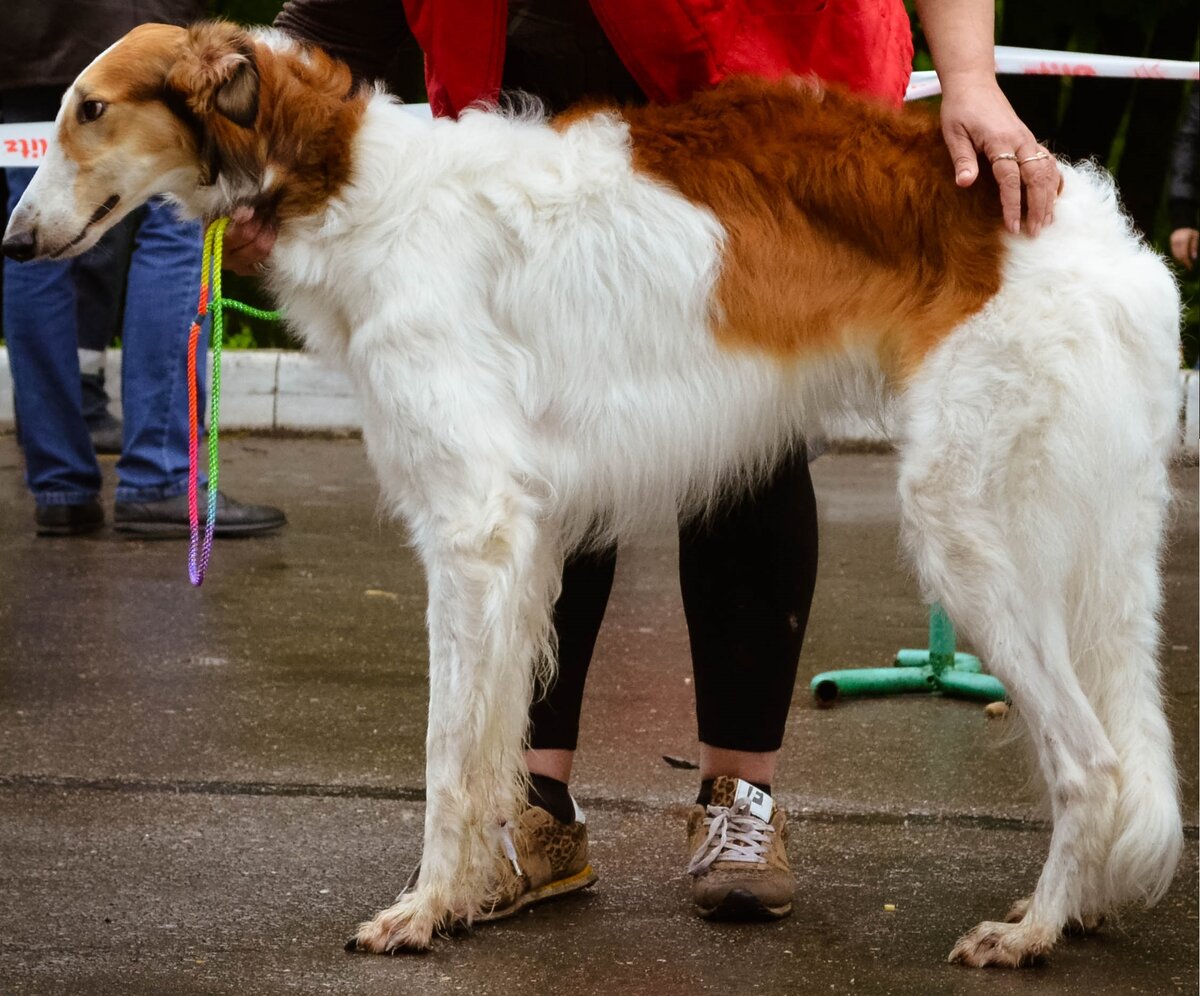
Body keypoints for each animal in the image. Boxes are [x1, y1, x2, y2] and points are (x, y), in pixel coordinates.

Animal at [0, 21, 1180, 969]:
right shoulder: (524, 543)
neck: (351, 186)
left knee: (1092, 761)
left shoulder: (472, 529)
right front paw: (475, 891)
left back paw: (1030, 931)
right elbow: (493, 750)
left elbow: (444, 756)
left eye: (90, 108)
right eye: (61, 111)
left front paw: (420, 913)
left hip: (969, 525)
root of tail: (1102, 232)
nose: (13, 240)